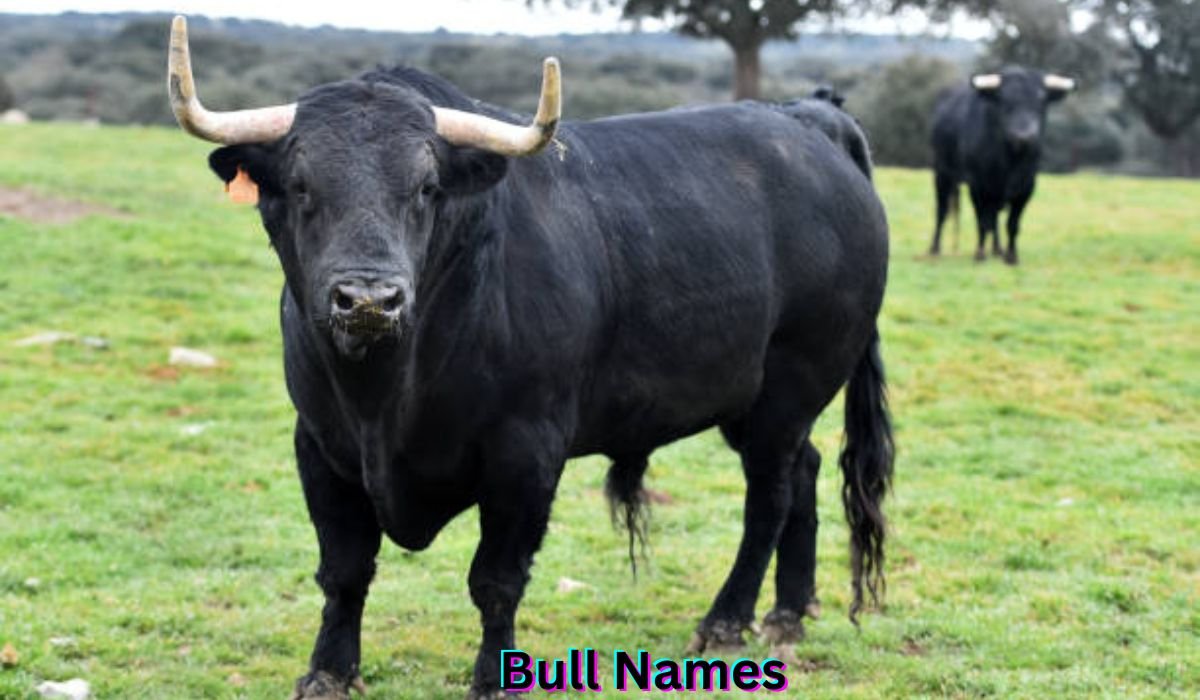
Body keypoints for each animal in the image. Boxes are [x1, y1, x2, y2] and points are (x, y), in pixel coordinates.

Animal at [165, 16, 893, 699]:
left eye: (426, 187)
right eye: (300, 184)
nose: (368, 298)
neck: (385, 395)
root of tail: (807, 119)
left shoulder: (525, 453)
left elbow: (496, 580)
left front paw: (494, 677)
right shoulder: (319, 445)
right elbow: (344, 569)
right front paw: (327, 672)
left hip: (791, 387)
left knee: (768, 496)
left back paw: (726, 621)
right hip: (758, 399)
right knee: (804, 470)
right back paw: (789, 612)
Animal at [928, 67, 1076, 265]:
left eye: (1041, 100)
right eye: (1005, 100)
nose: (1024, 136)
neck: (1009, 163)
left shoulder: (1026, 187)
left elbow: (1012, 224)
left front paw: (1011, 255)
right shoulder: (978, 186)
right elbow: (982, 221)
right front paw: (980, 253)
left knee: (995, 219)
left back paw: (997, 250)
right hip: (942, 173)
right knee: (942, 211)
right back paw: (934, 249)